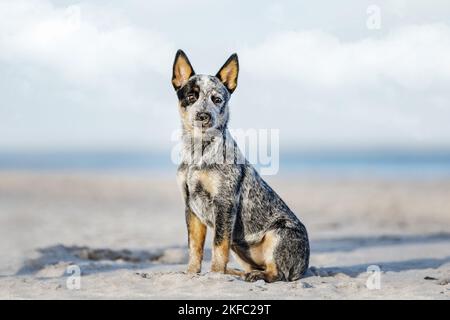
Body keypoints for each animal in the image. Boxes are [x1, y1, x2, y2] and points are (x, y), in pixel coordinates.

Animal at [172, 48, 310, 282]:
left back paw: (254, 275)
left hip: (279, 233)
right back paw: (238, 272)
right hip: (240, 248)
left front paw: (215, 274)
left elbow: (218, 245)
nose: (203, 116)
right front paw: (191, 272)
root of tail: (304, 267)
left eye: (217, 99)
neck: (199, 152)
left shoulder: (224, 203)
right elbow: (195, 247)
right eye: (191, 97)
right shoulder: (191, 206)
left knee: (278, 273)